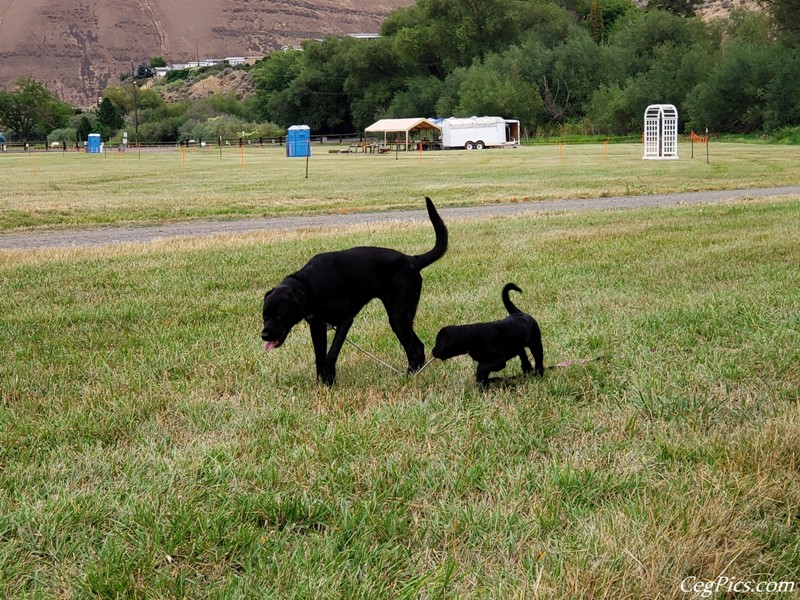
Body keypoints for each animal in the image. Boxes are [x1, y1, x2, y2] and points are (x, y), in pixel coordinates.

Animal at [264, 197, 446, 384]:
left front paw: (328, 377)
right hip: (403, 316)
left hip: (398, 316)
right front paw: (322, 383)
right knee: (419, 346)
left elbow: (331, 353)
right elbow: (319, 356)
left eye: (279, 316)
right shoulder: (317, 327)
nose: (264, 335)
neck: (309, 286)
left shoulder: (345, 321)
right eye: (264, 316)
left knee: (414, 350)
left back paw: (408, 376)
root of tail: (413, 260)